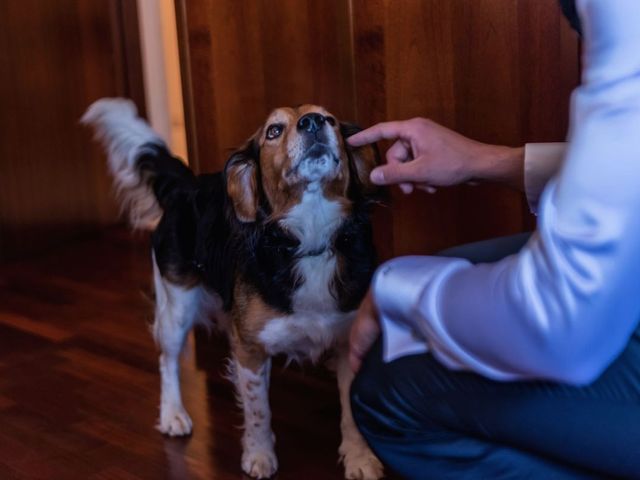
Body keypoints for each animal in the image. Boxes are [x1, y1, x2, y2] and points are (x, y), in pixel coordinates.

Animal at [84, 98, 384, 480]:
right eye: (273, 130)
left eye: (330, 119)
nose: (314, 123)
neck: (309, 239)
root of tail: (185, 187)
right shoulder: (250, 348)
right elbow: (258, 410)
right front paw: (259, 455)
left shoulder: (349, 340)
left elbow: (351, 412)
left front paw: (359, 458)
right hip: (176, 306)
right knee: (167, 359)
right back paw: (173, 414)